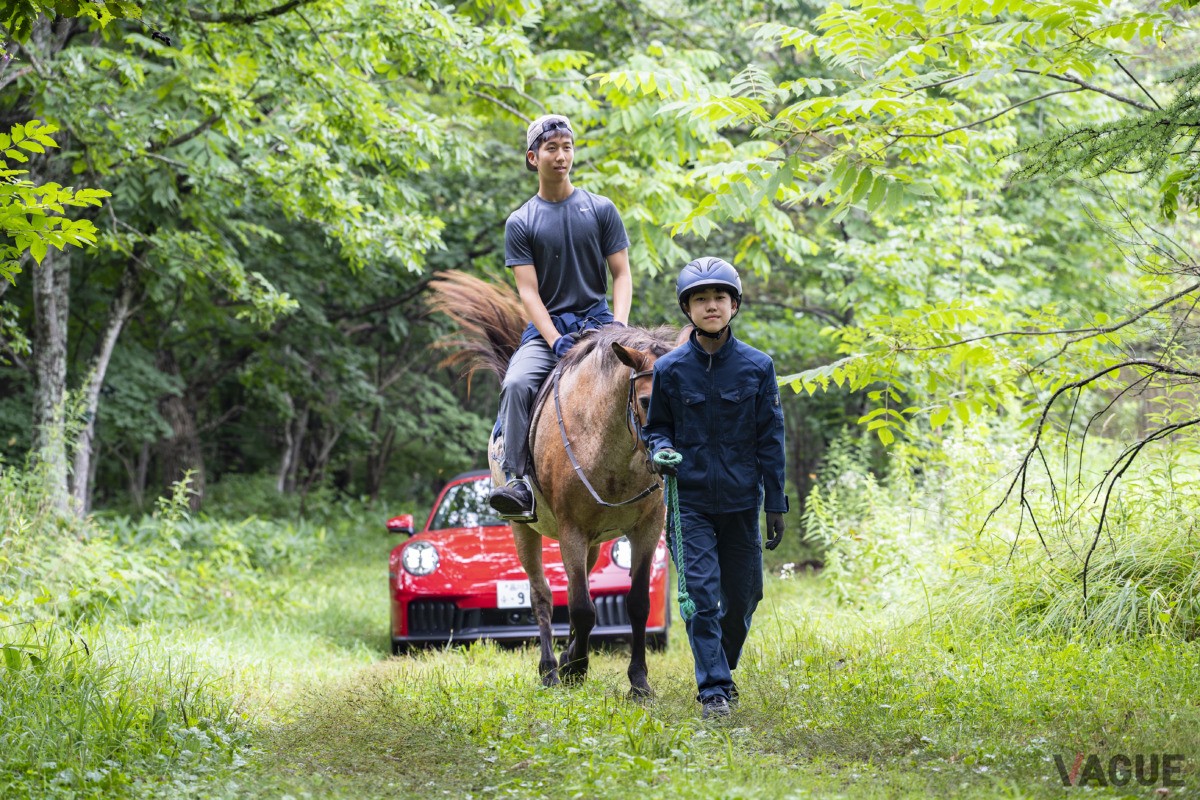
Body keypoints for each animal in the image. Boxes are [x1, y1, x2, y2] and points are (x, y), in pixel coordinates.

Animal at [429, 271, 677, 697]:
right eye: (645, 400)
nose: (670, 456)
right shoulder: (571, 529)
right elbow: (579, 607)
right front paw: (575, 668)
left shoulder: (645, 529)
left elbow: (636, 605)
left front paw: (639, 682)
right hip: (524, 531)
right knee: (542, 596)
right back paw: (549, 667)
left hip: (593, 542)